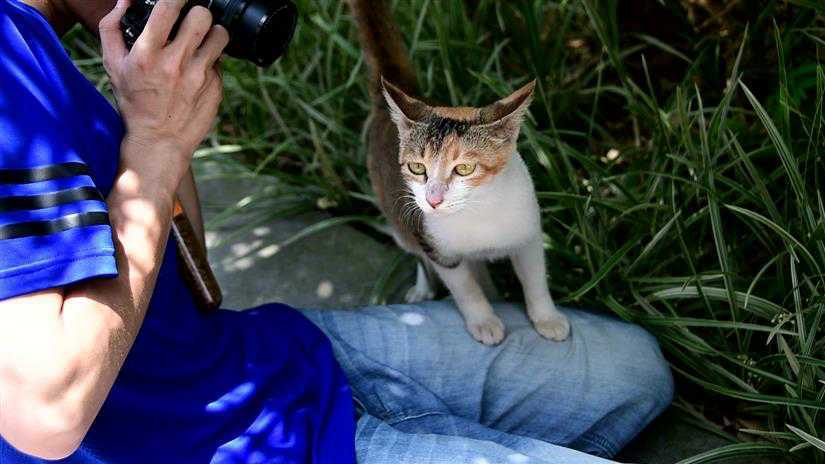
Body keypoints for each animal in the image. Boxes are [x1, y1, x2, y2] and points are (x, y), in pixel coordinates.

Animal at [346, 0, 568, 342]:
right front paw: (484, 320)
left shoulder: (529, 231)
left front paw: (547, 317)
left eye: (464, 168)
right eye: (417, 167)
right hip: (397, 216)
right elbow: (464, 286)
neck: (477, 211)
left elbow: (535, 278)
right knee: (415, 250)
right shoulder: (435, 244)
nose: (433, 200)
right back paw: (425, 288)